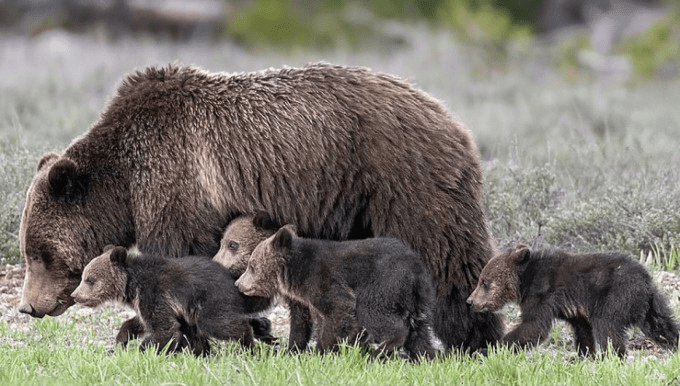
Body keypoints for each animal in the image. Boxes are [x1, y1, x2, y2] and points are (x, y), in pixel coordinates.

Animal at [73, 246, 274, 354]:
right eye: (84, 277)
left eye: (89, 279)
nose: (75, 295)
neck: (132, 284)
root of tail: (234, 283)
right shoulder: (146, 303)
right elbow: (139, 322)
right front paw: (121, 339)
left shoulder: (155, 294)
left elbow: (164, 329)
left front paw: (145, 349)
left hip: (209, 301)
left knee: (219, 324)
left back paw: (249, 343)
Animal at [234, 225, 436, 360]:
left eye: (251, 266)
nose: (238, 283)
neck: (294, 274)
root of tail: (417, 267)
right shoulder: (305, 300)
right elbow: (302, 322)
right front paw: (292, 350)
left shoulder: (324, 279)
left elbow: (339, 309)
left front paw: (324, 351)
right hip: (414, 299)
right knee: (418, 330)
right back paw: (425, 357)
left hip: (383, 283)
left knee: (375, 313)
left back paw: (379, 352)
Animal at [468, 244, 680, 356]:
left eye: (484, 282)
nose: (470, 301)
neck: (523, 282)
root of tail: (645, 278)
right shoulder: (573, 310)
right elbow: (583, 330)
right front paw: (585, 355)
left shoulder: (542, 295)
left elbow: (533, 327)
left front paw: (489, 348)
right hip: (651, 303)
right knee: (663, 325)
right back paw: (674, 344)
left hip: (616, 295)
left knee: (607, 326)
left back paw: (613, 357)